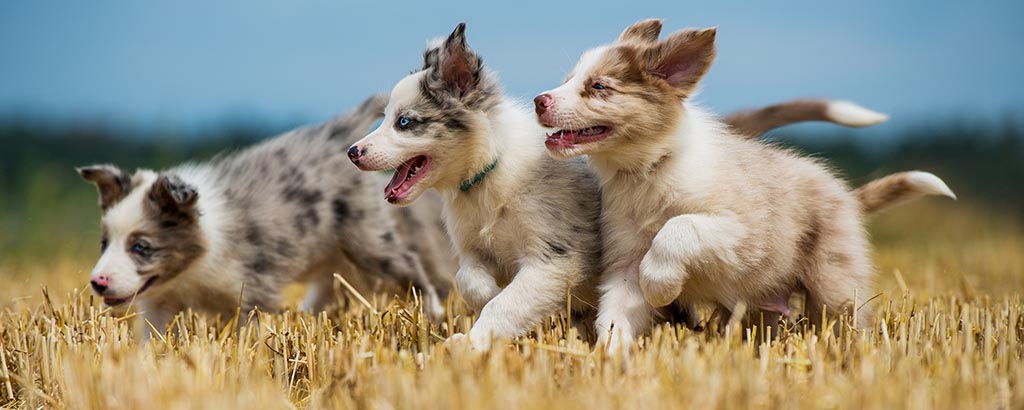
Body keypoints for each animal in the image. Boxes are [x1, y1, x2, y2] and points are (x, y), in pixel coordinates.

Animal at [75, 96, 452, 336]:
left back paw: (433, 312)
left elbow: (252, 336)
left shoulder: (254, 293)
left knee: (410, 264)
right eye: (104, 243)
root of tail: (337, 135)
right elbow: (151, 340)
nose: (97, 282)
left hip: (368, 240)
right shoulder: (159, 302)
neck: (193, 267)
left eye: (141, 247)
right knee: (324, 288)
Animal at [536, 19, 958, 352]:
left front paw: (660, 284)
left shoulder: (740, 230)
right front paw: (609, 358)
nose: (540, 100)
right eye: (567, 81)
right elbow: (615, 314)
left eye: (598, 86)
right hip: (762, 304)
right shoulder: (624, 260)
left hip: (833, 283)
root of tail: (846, 196)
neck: (648, 170)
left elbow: (678, 228)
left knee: (845, 322)